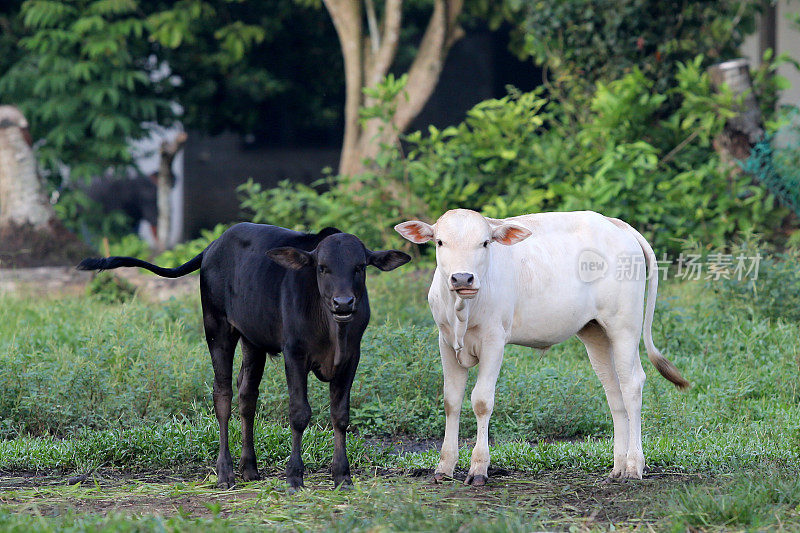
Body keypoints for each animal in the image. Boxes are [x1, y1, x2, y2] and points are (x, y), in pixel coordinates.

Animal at [78, 222, 410, 488]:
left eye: (360, 267)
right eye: (322, 267)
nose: (343, 303)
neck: (332, 329)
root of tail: (213, 246)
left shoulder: (352, 357)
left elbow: (340, 415)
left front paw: (342, 475)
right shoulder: (294, 353)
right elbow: (299, 413)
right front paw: (294, 475)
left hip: (253, 341)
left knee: (247, 395)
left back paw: (249, 467)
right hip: (217, 329)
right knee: (223, 395)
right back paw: (225, 473)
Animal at [396, 210, 692, 484]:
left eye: (485, 243)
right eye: (440, 242)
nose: (462, 278)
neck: (462, 312)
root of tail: (615, 223)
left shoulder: (494, 340)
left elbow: (481, 401)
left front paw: (479, 468)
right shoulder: (445, 341)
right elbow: (451, 401)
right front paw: (444, 467)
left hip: (624, 326)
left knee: (632, 384)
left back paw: (633, 466)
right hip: (595, 332)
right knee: (613, 391)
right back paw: (617, 468)